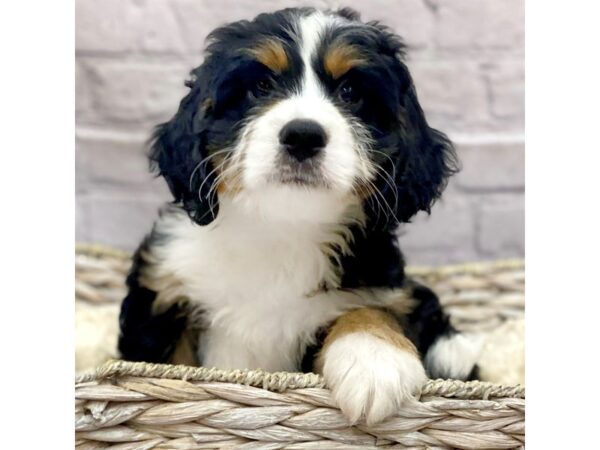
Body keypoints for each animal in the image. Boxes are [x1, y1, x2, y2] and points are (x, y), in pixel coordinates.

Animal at [118, 5, 478, 424]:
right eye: (260, 87)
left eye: (350, 93)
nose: (303, 135)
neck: (280, 227)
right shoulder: (162, 294)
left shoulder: (380, 284)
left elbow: (371, 310)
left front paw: (374, 361)